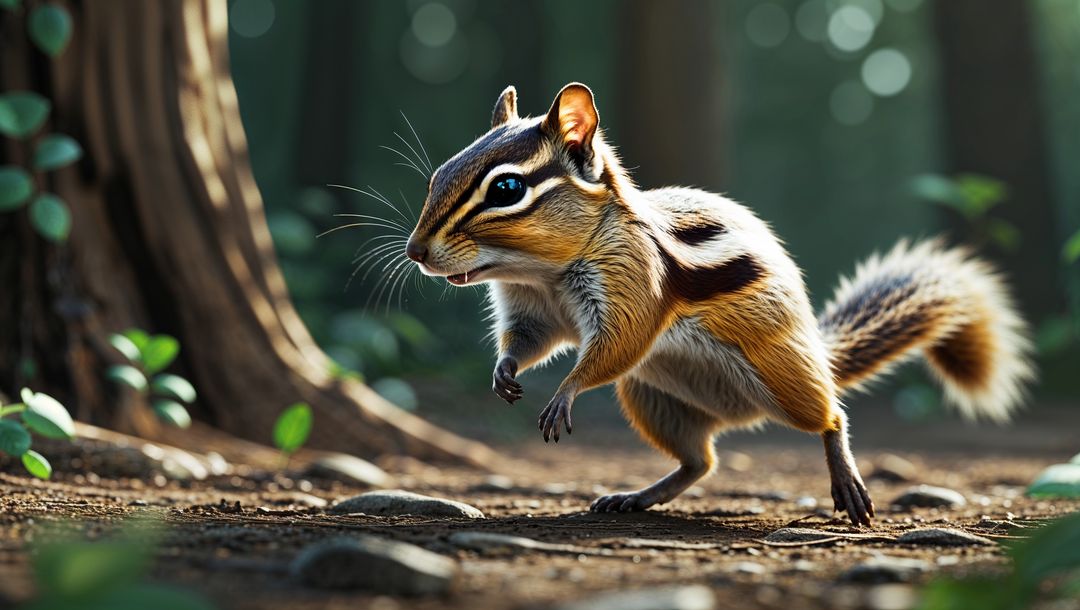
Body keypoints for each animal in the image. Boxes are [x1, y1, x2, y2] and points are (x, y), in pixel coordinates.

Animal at [403, 83, 1035, 526]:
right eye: (439, 175)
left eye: (507, 190)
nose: (415, 252)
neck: (544, 272)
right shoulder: (531, 307)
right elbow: (529, 341)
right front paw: (505, 372)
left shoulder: (634, 281)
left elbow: (617, 343)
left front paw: (564, 393)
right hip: (653, 397)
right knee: (700, 461)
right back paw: (637, 496)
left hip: (780, 374)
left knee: (830, 415)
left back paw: (847, 480)